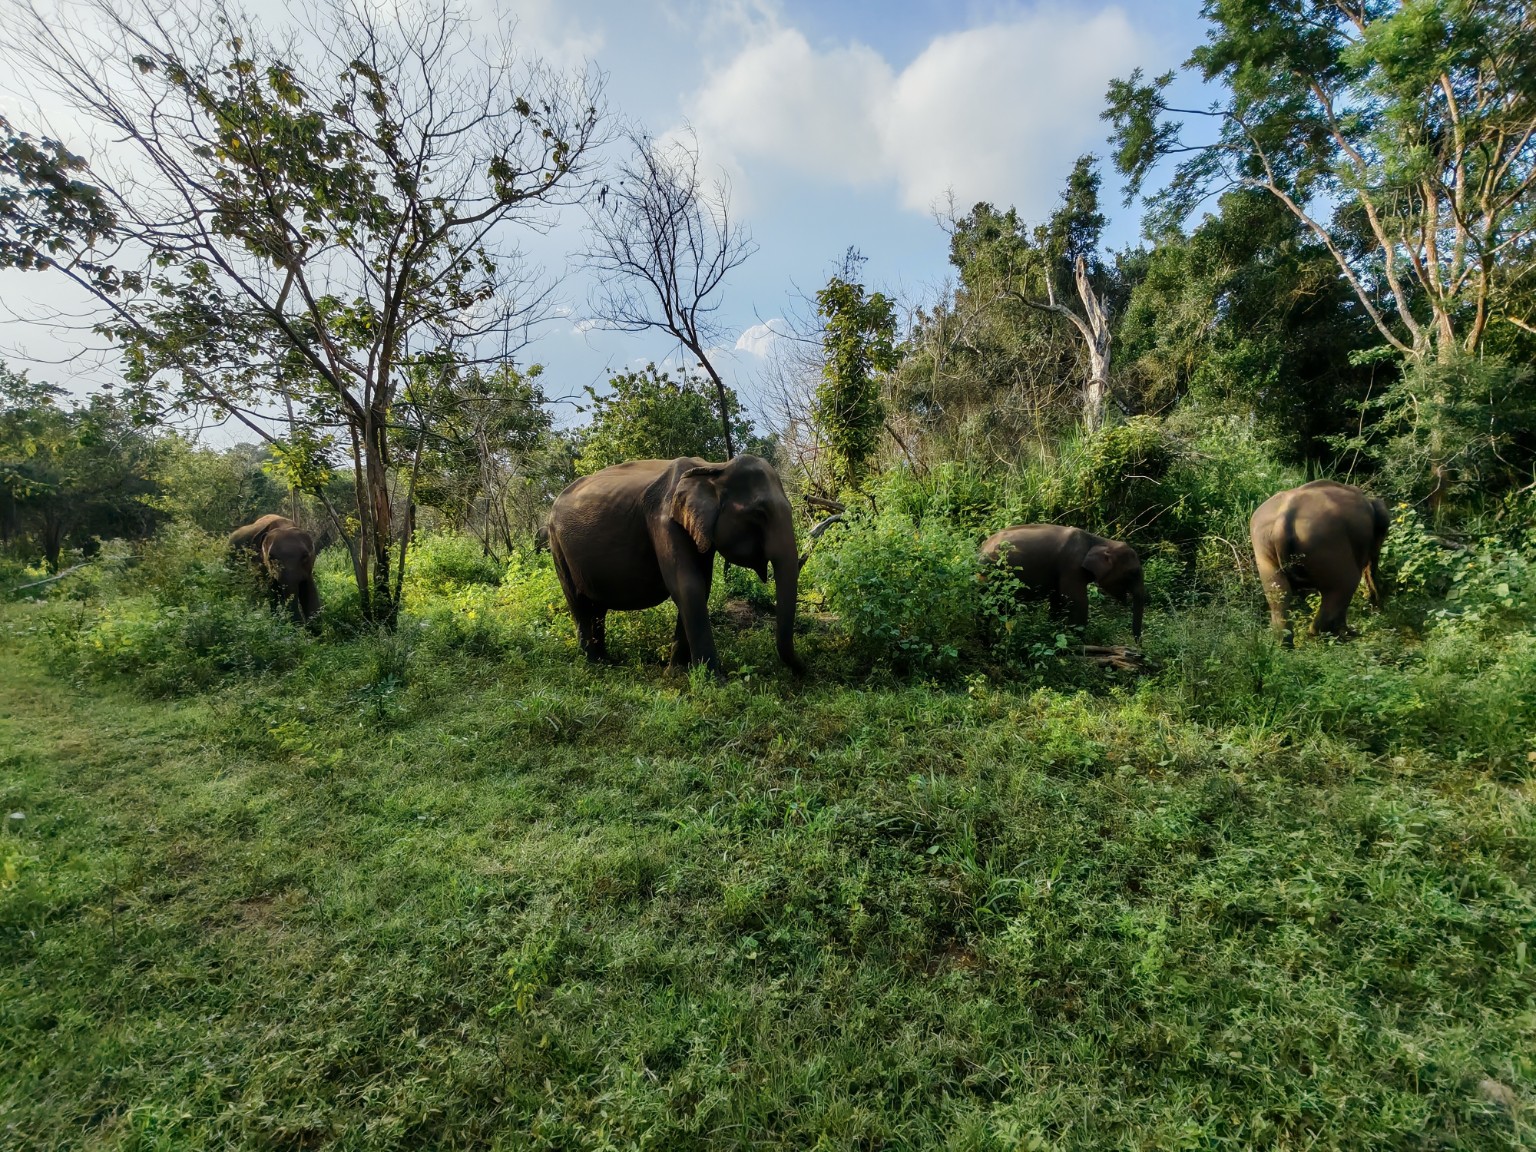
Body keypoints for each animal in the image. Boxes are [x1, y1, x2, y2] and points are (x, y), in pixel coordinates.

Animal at [545, 455, 803, 675]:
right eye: (760, 513)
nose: (802, 670)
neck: (714, 467)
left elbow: (701, 586)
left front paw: (679, 671)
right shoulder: (663, 520)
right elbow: (687, 586)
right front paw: (713, 679)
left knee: (597, 607)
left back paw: (607, 661)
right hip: (556, 543)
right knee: (578, 602)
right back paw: (593, 665)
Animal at [979, 524, 1146, 641]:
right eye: (1133, 572)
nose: (1138, 647)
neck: (1099, 540)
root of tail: (982, 547)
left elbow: (1057, 601)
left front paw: (1053, 633)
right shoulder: (1071, 566)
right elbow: (1077, 601)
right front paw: (1079, 643)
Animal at [1249, 480, 1389, 643]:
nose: (1377, 605)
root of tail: (1281, 522)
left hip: (1263, 550)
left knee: (1279, 598)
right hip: (1326, 542)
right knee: (1345, 585)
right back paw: (1342, 637)